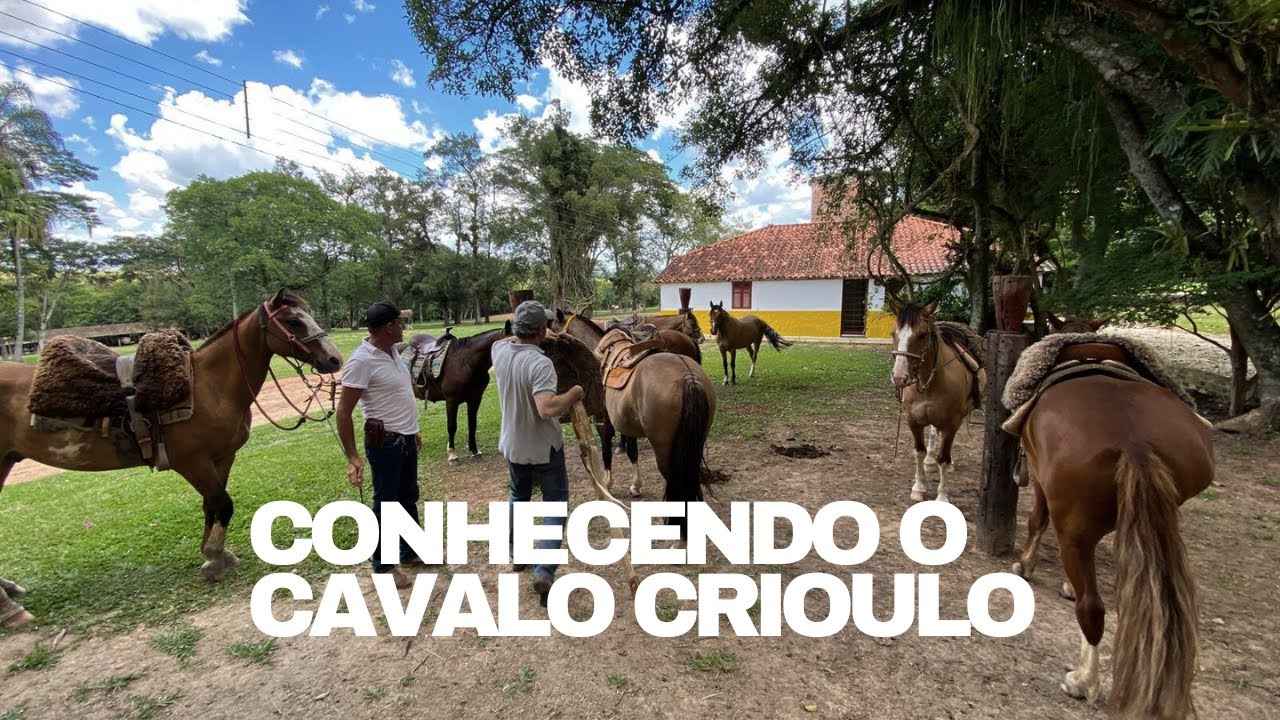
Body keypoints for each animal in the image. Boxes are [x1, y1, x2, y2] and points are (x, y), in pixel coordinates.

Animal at [0, 290, 343, 628]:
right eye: (293, 321)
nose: (334, 358)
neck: (209, 386)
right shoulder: (192, 462)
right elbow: (223, 504)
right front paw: (213, 560)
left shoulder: (221, 457)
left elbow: (211, 506)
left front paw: (215, 554)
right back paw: (10, 610)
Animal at [401, 327, 507, 464]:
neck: (465, 363)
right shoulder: (452, 401)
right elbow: (452, 426)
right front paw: (452, 454)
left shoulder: (475, 399)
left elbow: (472, 424)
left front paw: (474, 450)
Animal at [888, 300, 985, 503]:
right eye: (894, 333)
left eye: (922, 335)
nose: (899, 377)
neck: (929, 382)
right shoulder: (913, 420)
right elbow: (919, 451)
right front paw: (919, 487)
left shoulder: (952, 423)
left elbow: (944, 458)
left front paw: (942, 496)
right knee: (934, 432)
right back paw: (930, 461)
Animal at [1007, 333, 1213, 717]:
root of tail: (1135, 443)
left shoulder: (1041, 479)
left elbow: (1036, 519)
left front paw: (1024, 565)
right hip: (1160, 512)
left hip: (1074, 524)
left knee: (1091, 606)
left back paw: (1083, 680)